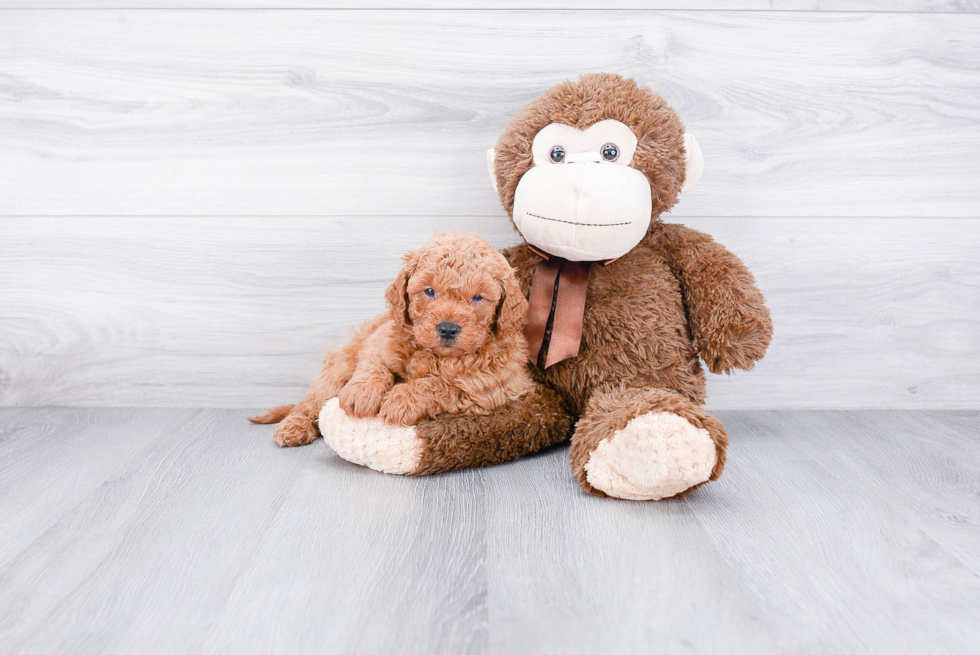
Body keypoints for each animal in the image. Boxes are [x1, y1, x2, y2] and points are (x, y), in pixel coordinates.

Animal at [249, 232, 532, 452]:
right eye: (429, 291)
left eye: (478, 297)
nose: (448, 329)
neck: (434, 355)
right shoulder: (379, 340)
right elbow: (375, 366)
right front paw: (361, 394)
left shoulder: (489, 390)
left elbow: (438, 385)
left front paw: (401, 400)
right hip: (340, 366)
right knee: (312, 401)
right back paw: (292, 427)